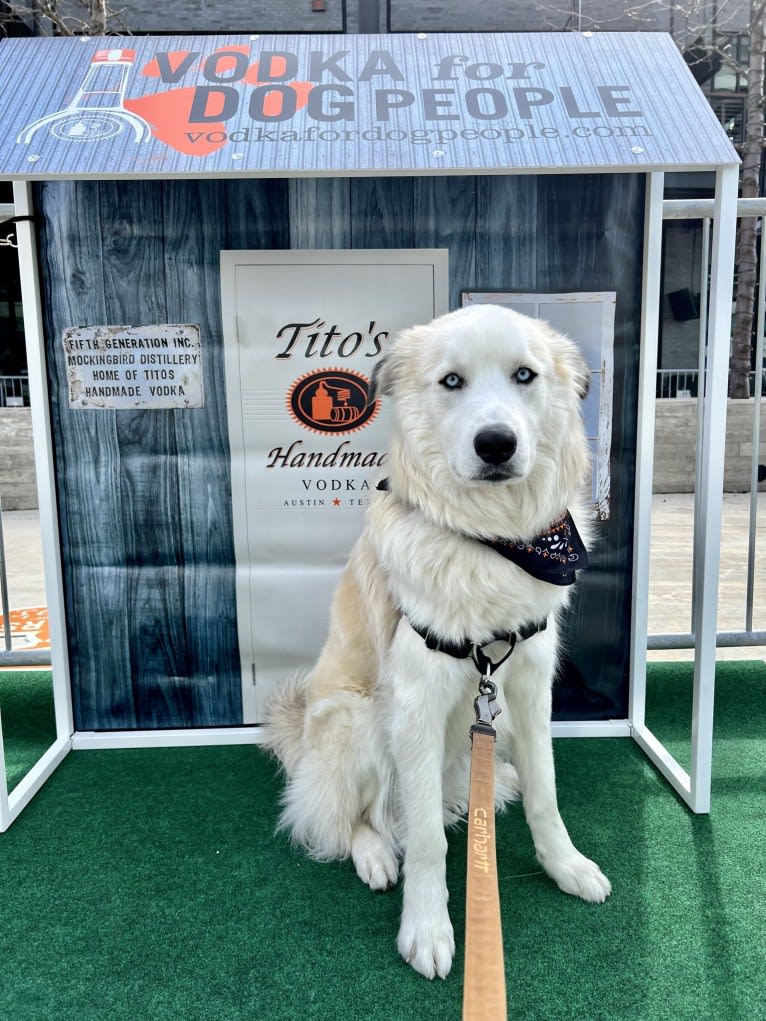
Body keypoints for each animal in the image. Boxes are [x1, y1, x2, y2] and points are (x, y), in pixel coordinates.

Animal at [267, 304, 616, 980]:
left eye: (525, 374)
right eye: (451, 381)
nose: (496, 444)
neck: (491, 540)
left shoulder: (528, 687)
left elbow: (546, 792)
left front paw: (566, 866)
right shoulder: (416, 702)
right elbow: (426, 838)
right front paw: (426, 929)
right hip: (359, 720)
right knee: (345, 817)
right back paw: (376, 856)